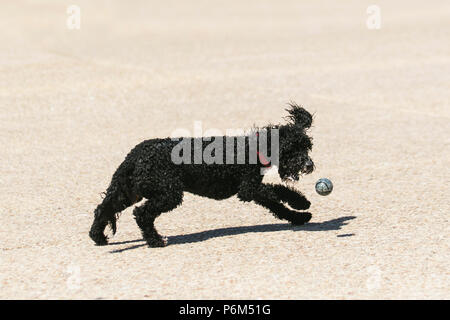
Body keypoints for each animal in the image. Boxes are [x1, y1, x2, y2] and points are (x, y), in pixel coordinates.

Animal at [89, 103, 314, 248]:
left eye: (307, 147)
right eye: (291, 149)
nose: (309, 165)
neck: (252, 148)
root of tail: (135, 155)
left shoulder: (253, 191)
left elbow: (277, 205)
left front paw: (299, 216)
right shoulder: (249, 188)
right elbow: (278, 192)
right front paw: (301, 203)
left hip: (128, 191)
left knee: (103, 209)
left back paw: (97, 237)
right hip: (168, 192)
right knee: (141, 213)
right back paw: (155, 241)